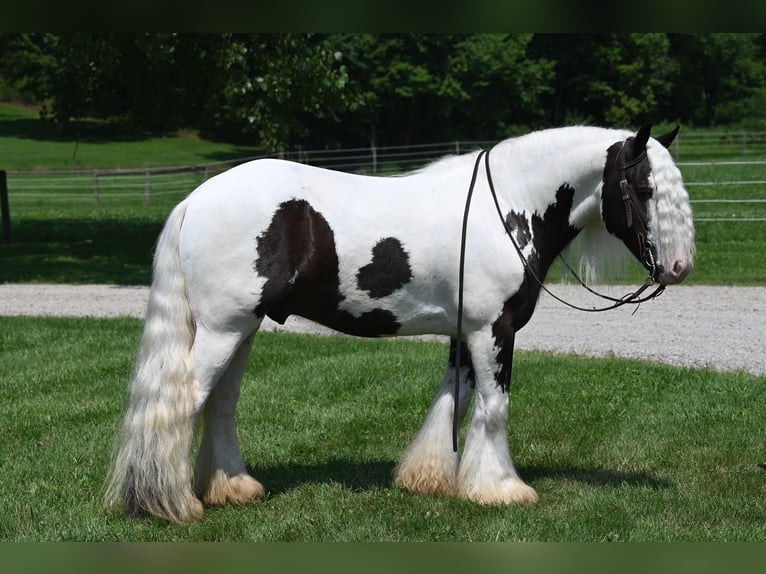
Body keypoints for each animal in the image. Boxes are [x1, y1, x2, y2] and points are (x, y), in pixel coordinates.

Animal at [105, 124, 700, 524]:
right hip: (223, 330)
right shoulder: (493, 329)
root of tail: (196, 199)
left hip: (241, 329)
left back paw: (232, 488)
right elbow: (493, 407)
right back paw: (168, 503)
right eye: (643, 189)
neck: (508, 207)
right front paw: (502, 489)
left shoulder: (466, 332)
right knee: (182, 405)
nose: (677, 268)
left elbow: (454, 401)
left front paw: (430, 478)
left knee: (221, 405)